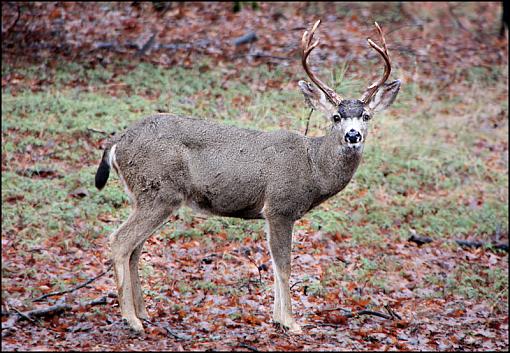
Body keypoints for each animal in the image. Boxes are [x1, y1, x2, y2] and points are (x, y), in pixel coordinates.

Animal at [94, 19, 398, 332]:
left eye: (367, 116)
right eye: (336, 117)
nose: (353, 135)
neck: (313, 168)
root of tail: (117, 142)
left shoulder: (272, 214)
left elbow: (275, 266)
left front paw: (277, 318)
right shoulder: (280, 207)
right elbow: (284, 266)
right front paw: (291, 323)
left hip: (144, 195)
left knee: (135, 248)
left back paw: (143, 312)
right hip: (159, 192)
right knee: (119, 241)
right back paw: (131, 319)